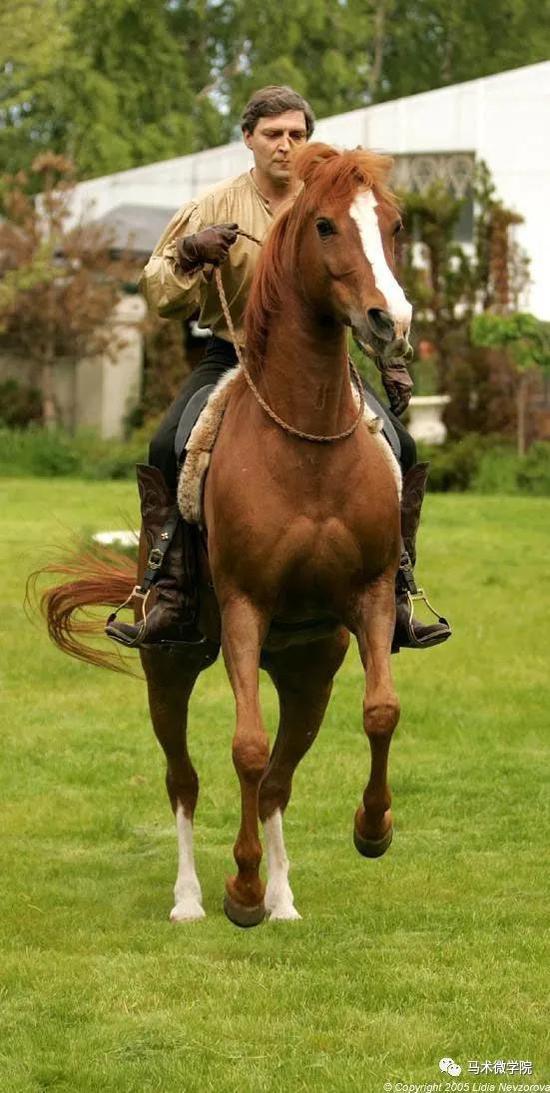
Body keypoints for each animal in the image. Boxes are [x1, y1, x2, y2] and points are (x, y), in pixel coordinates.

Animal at [40, 142, 413, 928]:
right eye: (326, 225)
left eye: (394, 225)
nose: (389, 319)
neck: (306, 444)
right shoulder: (245, 607)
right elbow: (244, 747)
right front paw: (238, 889)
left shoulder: (366, 601)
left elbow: (379, 711)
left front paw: (372, 829)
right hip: (171, 665)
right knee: (183, 777)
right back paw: (191, 897)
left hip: (308, 667)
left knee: (280, 778)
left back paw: (283, 897)